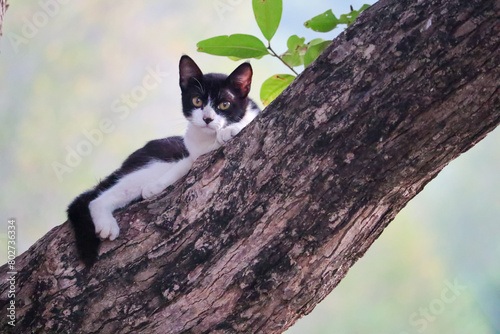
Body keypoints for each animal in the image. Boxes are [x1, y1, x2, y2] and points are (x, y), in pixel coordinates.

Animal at [68, 56, 260, 266]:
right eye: (197, 101)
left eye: (224, 104)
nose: (207, 118)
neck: (207, 139)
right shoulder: (191, 152)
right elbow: (185, 164)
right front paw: (154, 187)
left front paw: (230, 130)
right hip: (154, 162)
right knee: (97, 198)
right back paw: (106, 221)